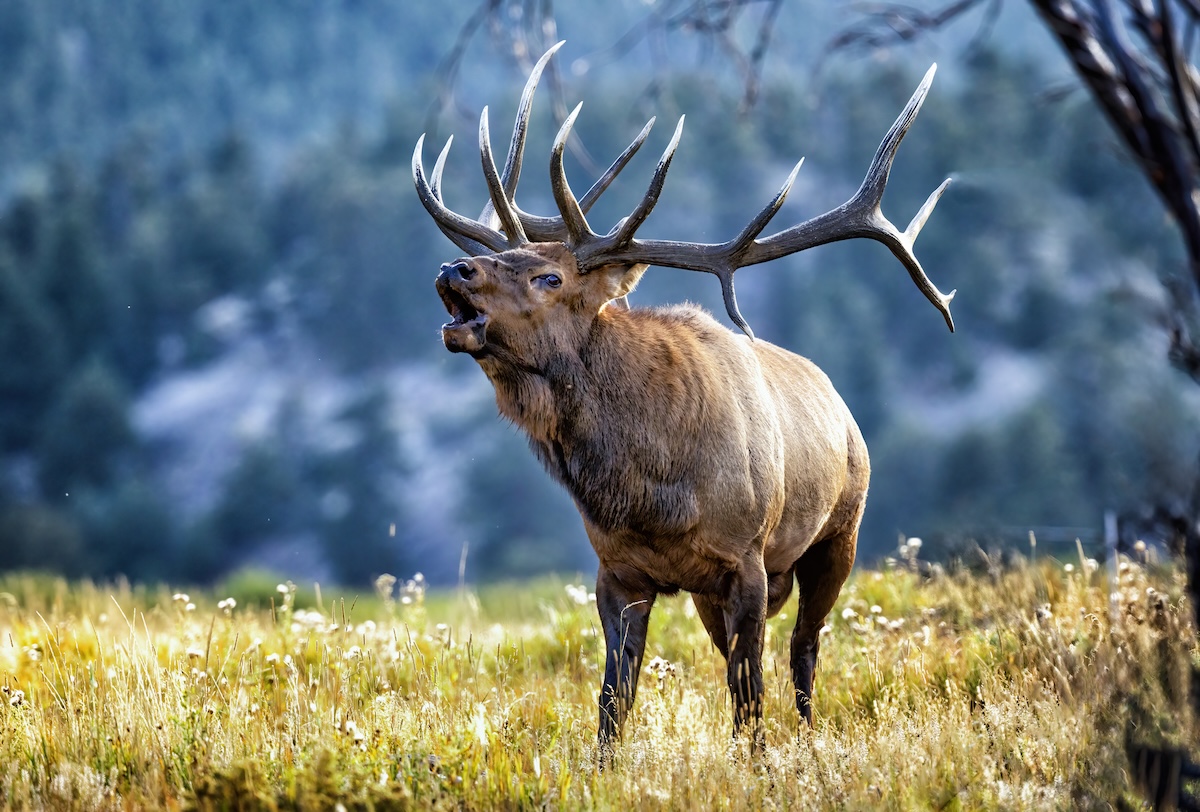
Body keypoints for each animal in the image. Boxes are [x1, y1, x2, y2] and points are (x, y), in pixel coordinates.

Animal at [413, 42, 955, 757]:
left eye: (548, 276)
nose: (454, 269)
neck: (652, 491)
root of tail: (842, 408)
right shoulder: (617, 572)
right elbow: (614, 700)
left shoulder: (747, 559)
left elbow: (748, 696)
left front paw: (761, 764)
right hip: (710, 593)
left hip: (839, 534)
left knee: (803, 649)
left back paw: (810, 739)